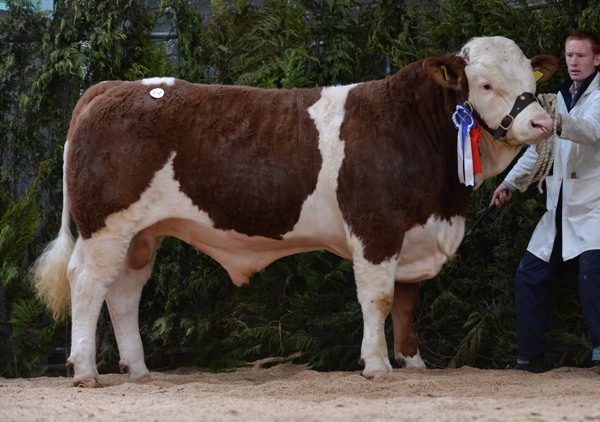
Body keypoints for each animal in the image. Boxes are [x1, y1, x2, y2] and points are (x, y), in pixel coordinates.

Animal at [32, 36, 556, 386]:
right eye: (484, 84)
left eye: (530, 82)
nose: (542, 122)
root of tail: (111, 87)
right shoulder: (376, 227)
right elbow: (379, 299)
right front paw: (377, 366)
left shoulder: (415, 232)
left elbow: (408, 303)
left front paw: (414, 364)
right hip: (106, 225)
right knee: (87, 283)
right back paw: (84, 370)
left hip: (143, 234)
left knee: (123, 293)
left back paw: (139, 370)